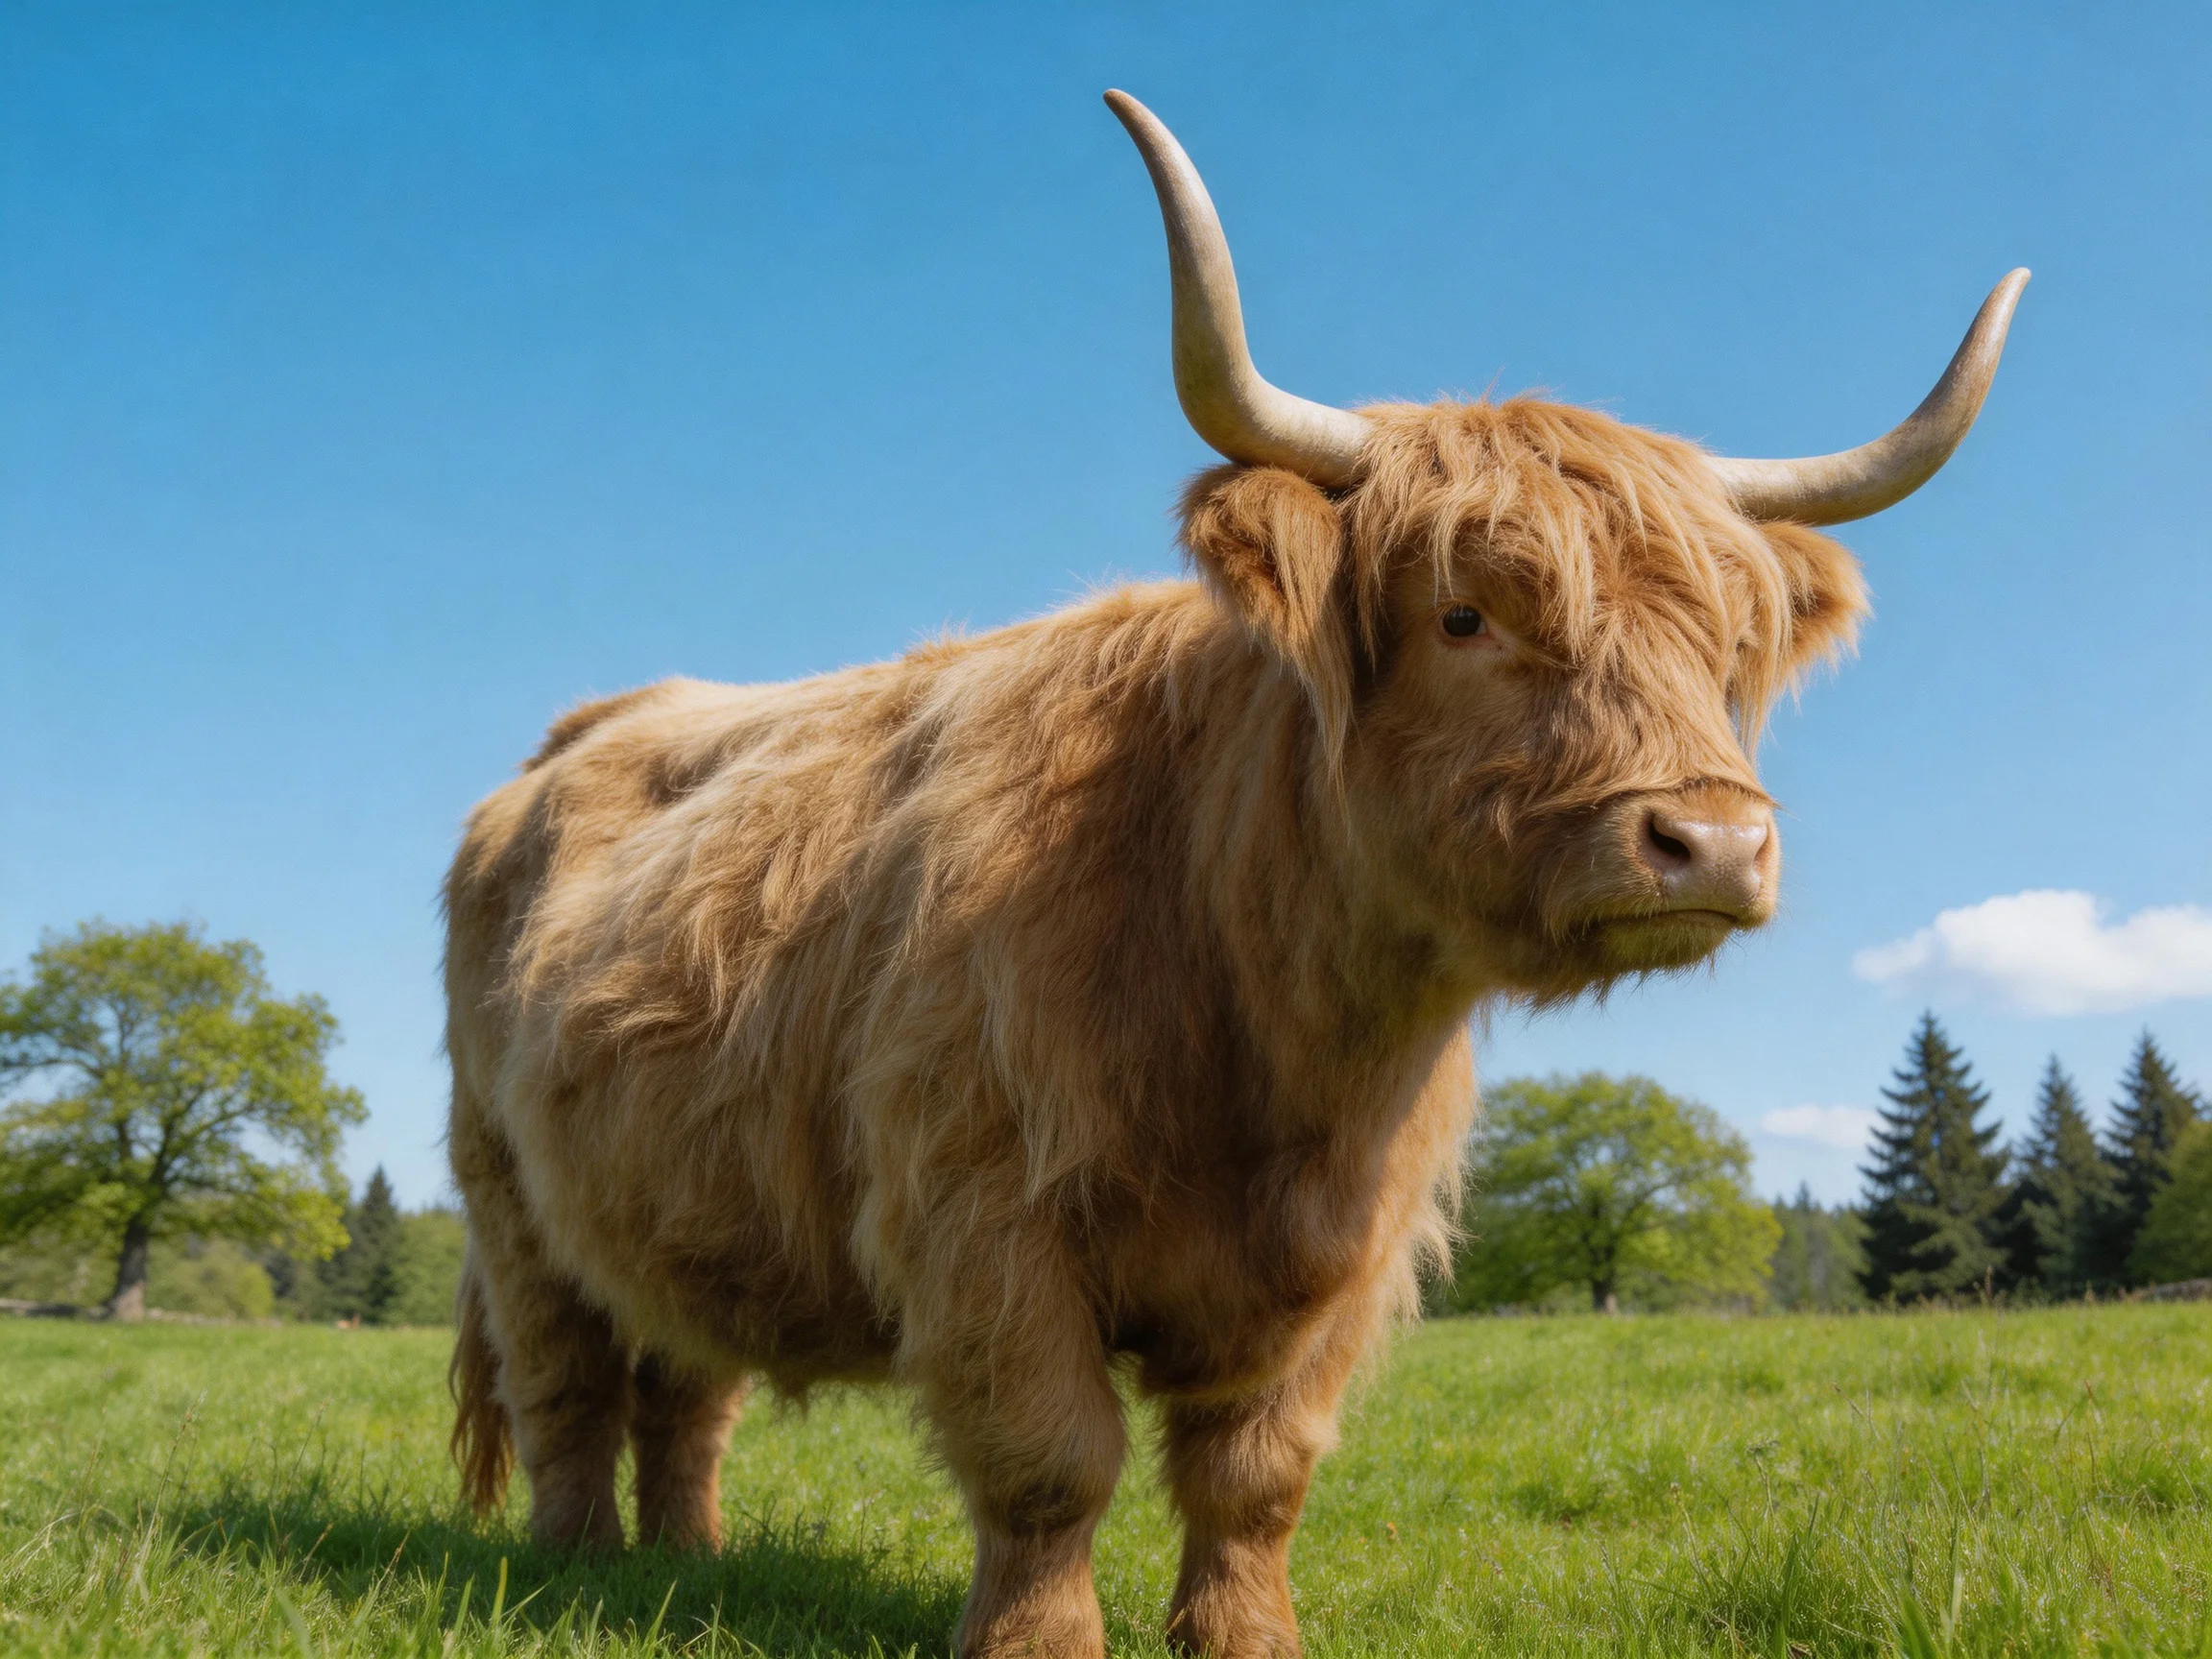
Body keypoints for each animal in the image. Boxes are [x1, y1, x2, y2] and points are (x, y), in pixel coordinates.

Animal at [443, 90, 2024, 1659]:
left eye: (1729, 647)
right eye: (1465, 614)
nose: (1713, 844)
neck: (1279, 1041)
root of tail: (569, 743)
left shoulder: (1342, 1259)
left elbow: (1257, 1470)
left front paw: (1245, 1638)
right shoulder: (978, 1213)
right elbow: (1050, 1459)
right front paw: (1040, 1646)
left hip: (674, 1201)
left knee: (683, 1383)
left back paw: (686, 1562)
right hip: (508, 1198)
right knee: (569, 1381)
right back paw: (582, 1570)